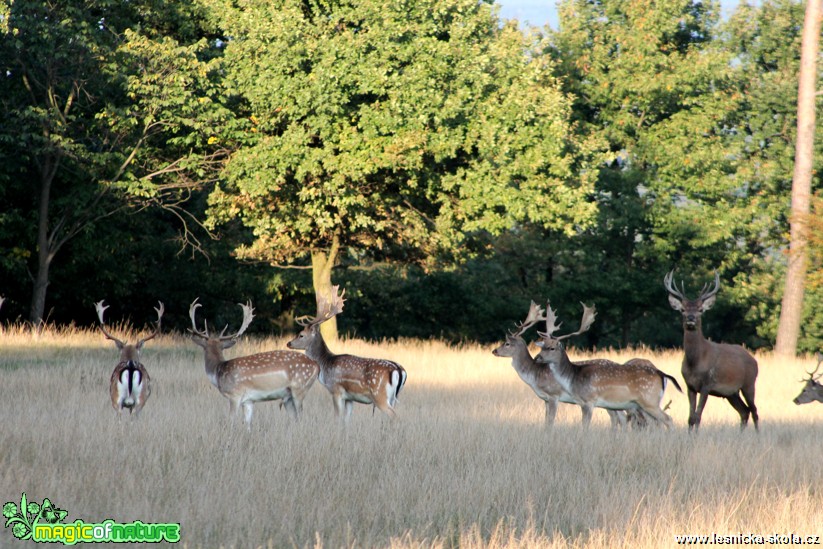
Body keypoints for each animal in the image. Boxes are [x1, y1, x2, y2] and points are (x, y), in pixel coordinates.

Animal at [189, 298, 318, 426]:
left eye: (204, 348)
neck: (218, 371)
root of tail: (316, 365)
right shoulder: (248, 401)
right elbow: (247, 423)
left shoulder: (235, 395)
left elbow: (231, 420)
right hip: (288, 396)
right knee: (294, 418)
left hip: (299, 387)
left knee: (301, 416)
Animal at [286, 284, 408, 422]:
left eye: (301, 335)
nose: (289, 343)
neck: (325, 364)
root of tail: (399, 370)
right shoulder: (350, 398)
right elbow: (346, 419)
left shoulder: (336, 390)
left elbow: (338, 417)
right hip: (394, 397)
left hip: (379, 395)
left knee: (395, 416)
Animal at [536, 300, 684, 428]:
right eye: (542, 346)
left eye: (552, 348)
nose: (538, 357)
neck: (573, 378)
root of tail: (662, 373)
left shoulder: (589, 401)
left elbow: (585, 427)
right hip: (646, 404)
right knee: (656, 422)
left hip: (649, 400)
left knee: (668, 420)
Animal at [664, 272, 760, 430]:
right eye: (682, 309)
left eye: (700, 310)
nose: (691, 318)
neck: (695, 362)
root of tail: (754, 360)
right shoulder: (690, 386)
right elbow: (690, 418)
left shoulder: (707, 384)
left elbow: (698, 416)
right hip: (731, 393)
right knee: (744, 411)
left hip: (749, 383)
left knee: (754, 411)